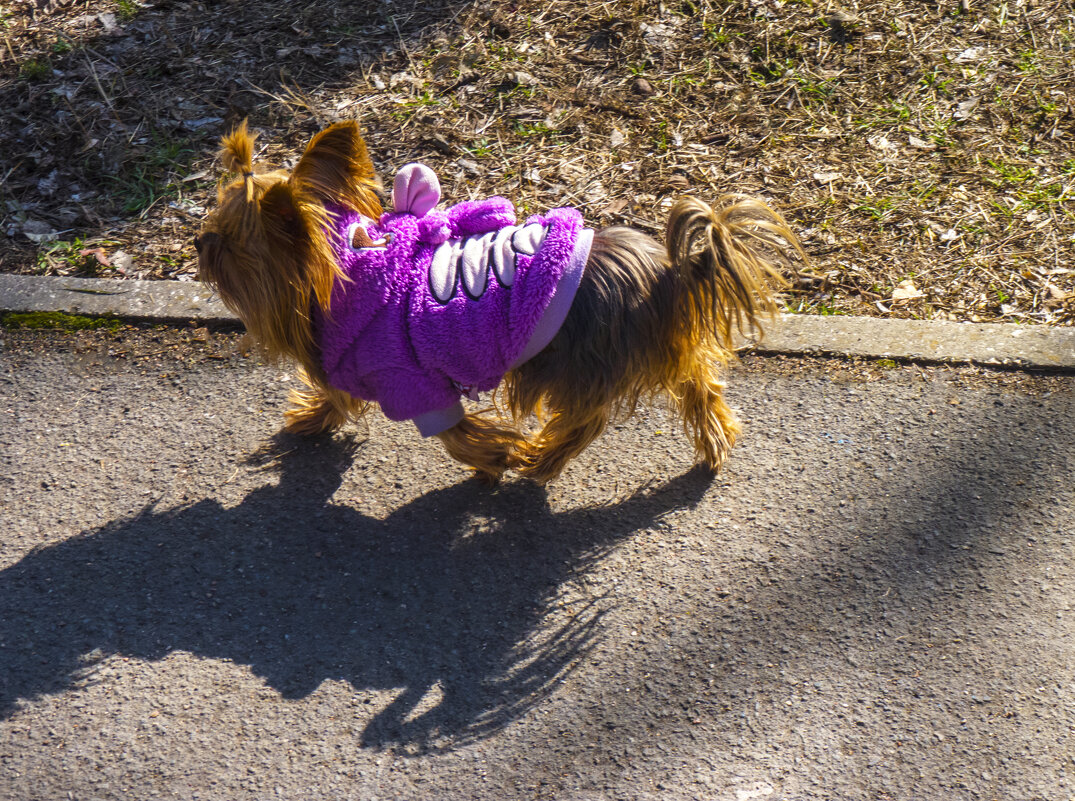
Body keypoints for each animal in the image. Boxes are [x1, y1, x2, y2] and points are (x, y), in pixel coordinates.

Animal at [195, 118, 799, 481]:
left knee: (587, 419)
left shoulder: (409, 380)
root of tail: (669, 275)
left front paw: (497, 455)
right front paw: (311, 417)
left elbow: (457, 435)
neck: (348, 268)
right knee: (698, 384)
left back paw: (540, 458)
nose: (198, 242)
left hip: (571, 363)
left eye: (225, 243)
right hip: (652, 348)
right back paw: (716, 439)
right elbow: (337, 396)